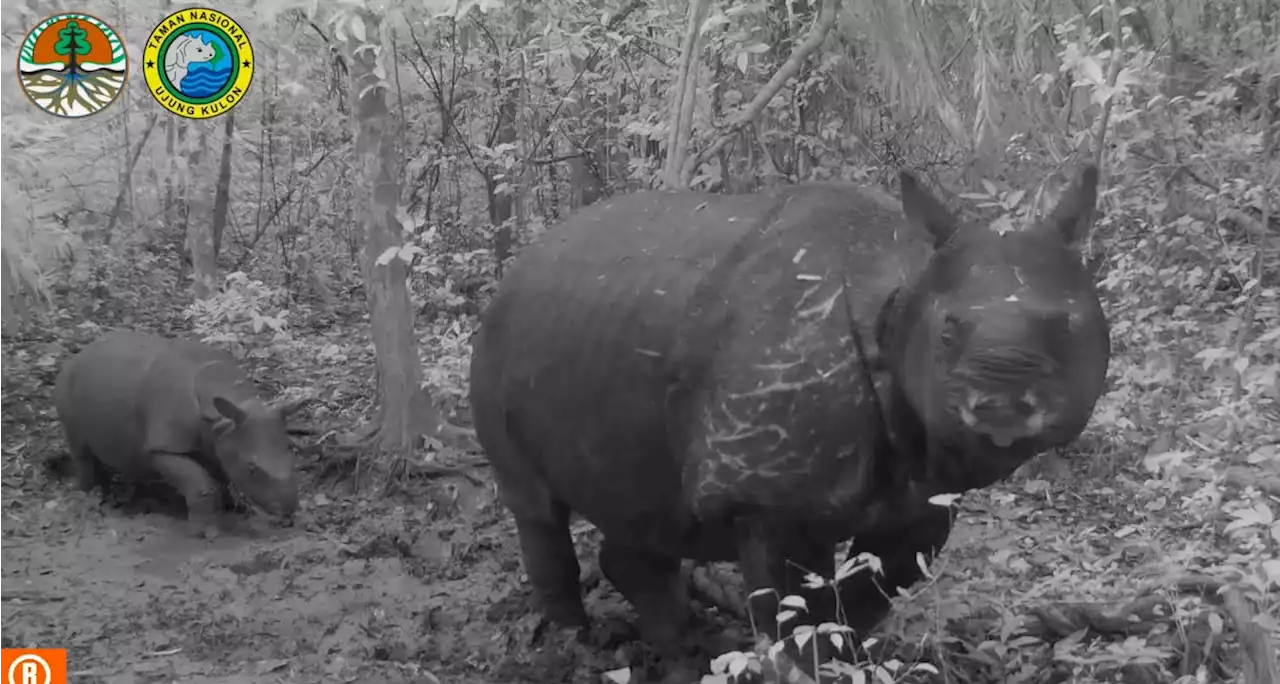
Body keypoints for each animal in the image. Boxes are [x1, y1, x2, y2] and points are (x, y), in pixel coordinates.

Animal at [56, 333, 304, 540]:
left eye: (292, 450)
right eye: (252, 469)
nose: (289, 509)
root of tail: (77, 355)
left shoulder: (220, 436)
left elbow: (221, 473)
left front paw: (231, 509)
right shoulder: (163, 445)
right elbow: (200, 481)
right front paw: (205, 532)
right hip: (66, 385)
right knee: (82, 452)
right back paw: (90, 498)